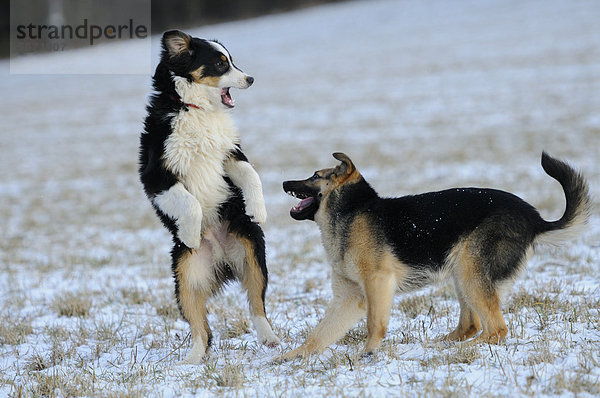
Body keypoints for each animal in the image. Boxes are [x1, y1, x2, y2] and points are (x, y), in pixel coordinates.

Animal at [139, 29, 280, 362]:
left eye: (232, 60)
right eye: (220, 63)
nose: (251, 78)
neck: (197, 110)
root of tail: (221, 258)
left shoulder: (230, 155)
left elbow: (252, 175)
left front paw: (258, 209)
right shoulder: (156, 176)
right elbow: (189, 203)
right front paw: (191, 234)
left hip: (252, 252)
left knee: (256, 303)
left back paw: (269, 339)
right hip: (184, 275)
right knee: (200, 326)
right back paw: (191, 361)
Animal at [282, 151, 592, 360]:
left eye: (315, 176)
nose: (285, 182)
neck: (351, 211)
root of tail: (534, 219)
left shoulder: (376, 283)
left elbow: (374, 324)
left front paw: (368, 353)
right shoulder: (349, 297)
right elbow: (318, 334)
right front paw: (290, 357)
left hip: (470, 274)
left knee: (496, 330)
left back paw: (456, 350)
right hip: (462, 274)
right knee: (471, 324)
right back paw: (441, 345)